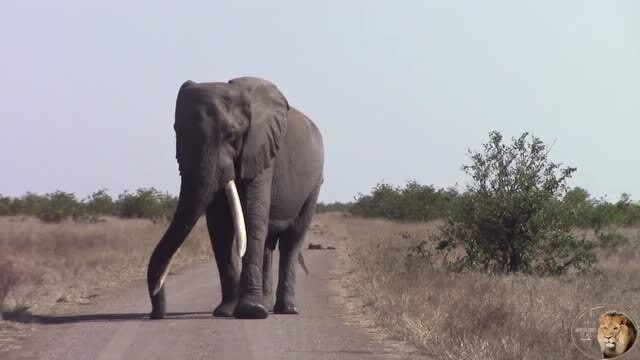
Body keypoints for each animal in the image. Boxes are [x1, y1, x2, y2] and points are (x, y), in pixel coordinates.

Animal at [146, 77, 324, 320]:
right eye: (177, 133)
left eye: (231, 137)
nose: (155, 313)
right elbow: (219, 225)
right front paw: (225, 311)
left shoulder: (262, 151)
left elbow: (252, 217)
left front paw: (250, 312)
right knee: (268, 244)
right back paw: (266, 305)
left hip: (314, 184)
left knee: (292, 241)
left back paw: (286, 309)